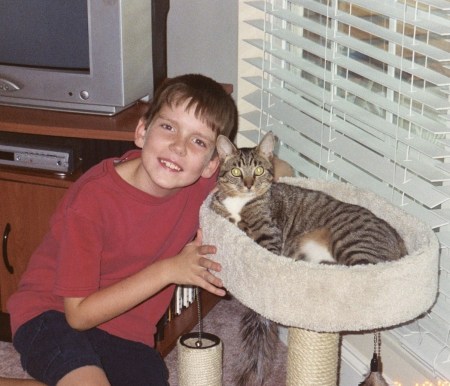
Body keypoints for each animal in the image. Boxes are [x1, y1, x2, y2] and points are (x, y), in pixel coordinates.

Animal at [209, 131, 406, 384]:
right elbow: (218, 208)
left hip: (350, 241)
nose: (248, 184)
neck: (240, 203)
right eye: (236, 172)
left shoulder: (269, 235)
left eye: (259, 170)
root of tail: (398, 240)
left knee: (358, 268)